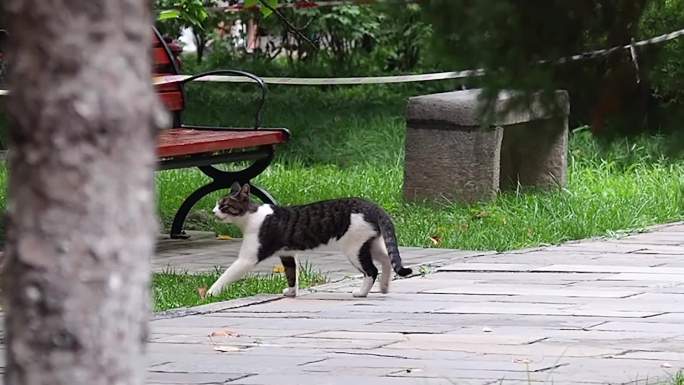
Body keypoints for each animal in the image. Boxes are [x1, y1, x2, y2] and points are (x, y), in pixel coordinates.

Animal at [208, 182, 412, 296]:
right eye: (217, 204)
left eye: (224, 206)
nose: (213, 211)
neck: (251, 217)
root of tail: (373, 206)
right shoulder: (288, 254)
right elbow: (291, 274)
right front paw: (291, 292)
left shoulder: (248, 258)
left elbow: (226, 275)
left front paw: (210, 293)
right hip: (371, 243)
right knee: (387, 259)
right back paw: (384, 286)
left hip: (354, 248)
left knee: (371, 270)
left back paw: (361, 293)